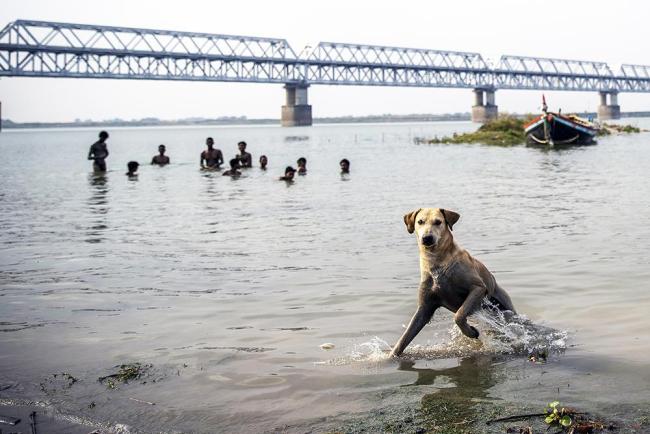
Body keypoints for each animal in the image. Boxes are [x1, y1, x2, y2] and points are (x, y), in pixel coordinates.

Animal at [388, 209, 512, 358]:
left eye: (438, 222)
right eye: (420, 221)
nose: (427, 238)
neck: (437, 261)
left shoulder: (478, 288)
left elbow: (459, 315)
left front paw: (471, 332)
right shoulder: (425, 307)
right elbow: (405, 337)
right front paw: (389, 357)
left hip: (507, 307)